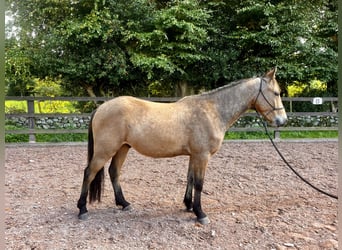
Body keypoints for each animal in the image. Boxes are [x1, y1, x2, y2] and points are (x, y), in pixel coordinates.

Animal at [77, 68, 286, 225]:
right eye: (276, 93)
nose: (282, 121)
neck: (212, 110)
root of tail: (101, 107)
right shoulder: (202, 156)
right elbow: (200, 183)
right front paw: (200, 213)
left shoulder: (194, 155)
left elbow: (190, 179)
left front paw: (188, 205)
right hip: (105, 150)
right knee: (89, 172)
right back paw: (82, 209)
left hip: (122, 148)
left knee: (114, 172)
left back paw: (124, 203)